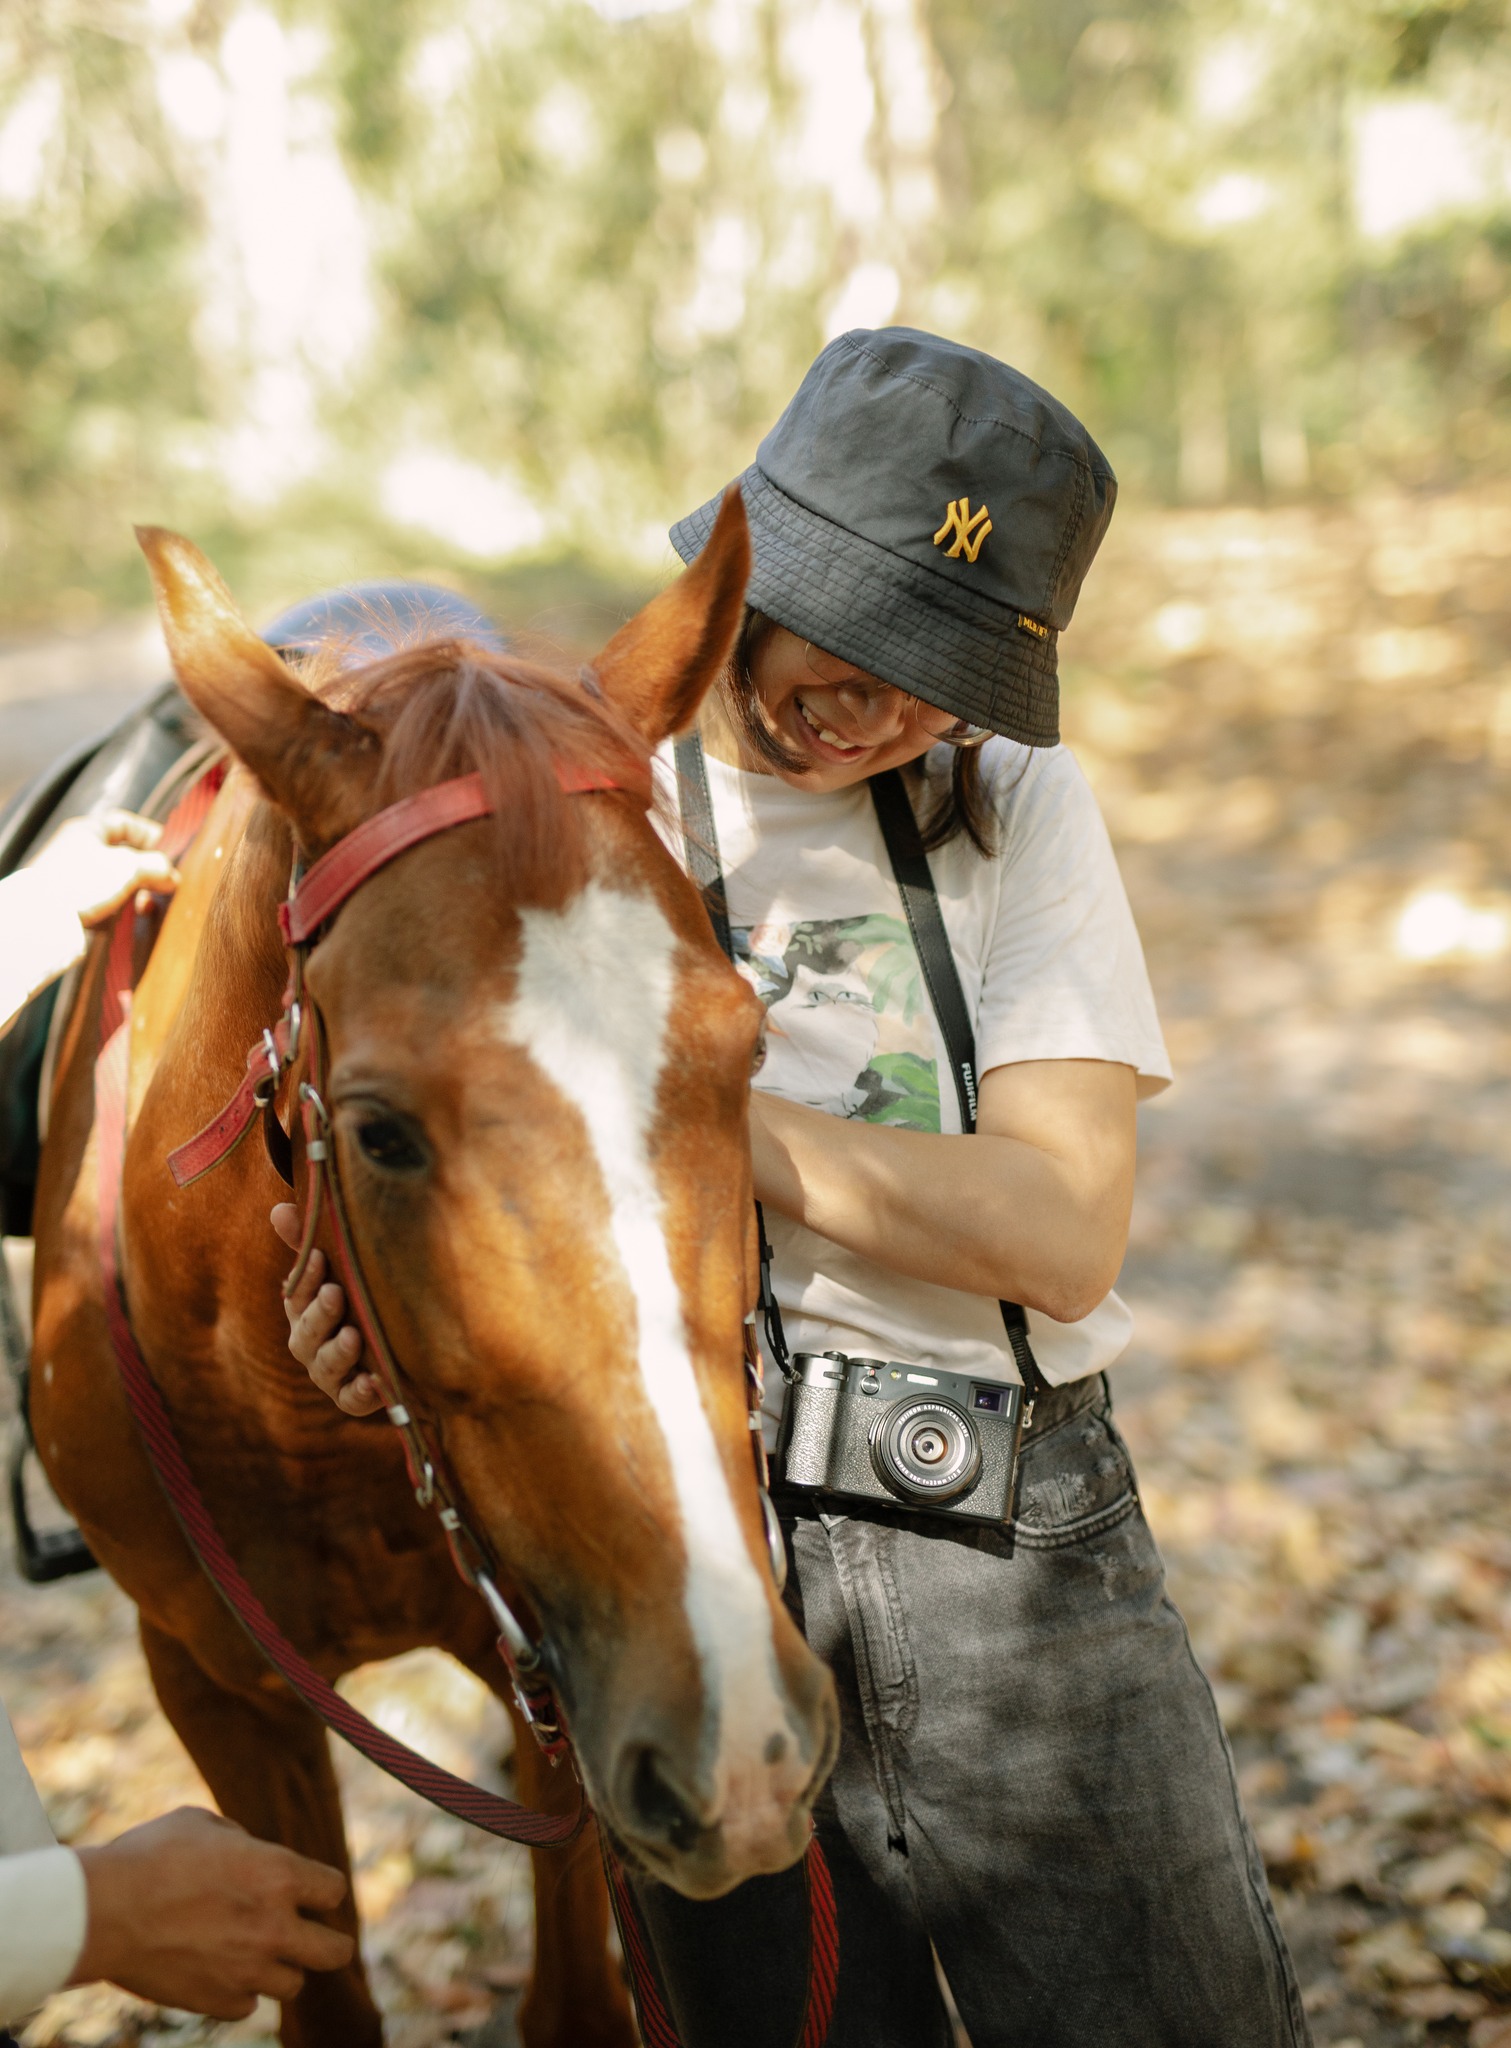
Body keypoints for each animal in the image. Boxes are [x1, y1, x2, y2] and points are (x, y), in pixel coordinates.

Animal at [26, 495, 835, 2048]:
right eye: (378, 1133)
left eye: (747, 1050)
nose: (742, 1750)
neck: (282, 1403)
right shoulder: (217, 1691)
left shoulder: (554, 1683)